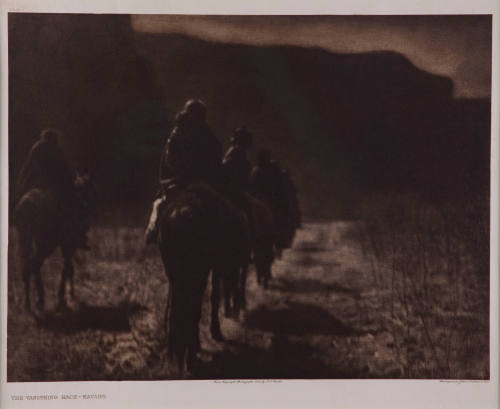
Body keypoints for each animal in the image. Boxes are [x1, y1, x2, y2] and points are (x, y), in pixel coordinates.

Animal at [13, 172, 95, 310]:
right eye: (88, 189)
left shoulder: (65, 246)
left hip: (25, 238)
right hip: (46, 244)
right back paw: (40, 300)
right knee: (35, 264)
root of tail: (27, 205)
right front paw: (65, 297)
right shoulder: (69, 245)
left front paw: (67, 296)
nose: (88, 205)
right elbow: (67, 269)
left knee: (27, 267)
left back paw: (27, 302)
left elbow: (68, 268)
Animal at [158, 183, 250, 368]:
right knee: (195, 304)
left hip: (176, 273)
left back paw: (180, 351)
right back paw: (191, 354)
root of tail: (180, 213)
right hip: (199, 272)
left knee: (180, 305)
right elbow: (217, 294)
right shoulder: (222, 266)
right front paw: (218, 327)